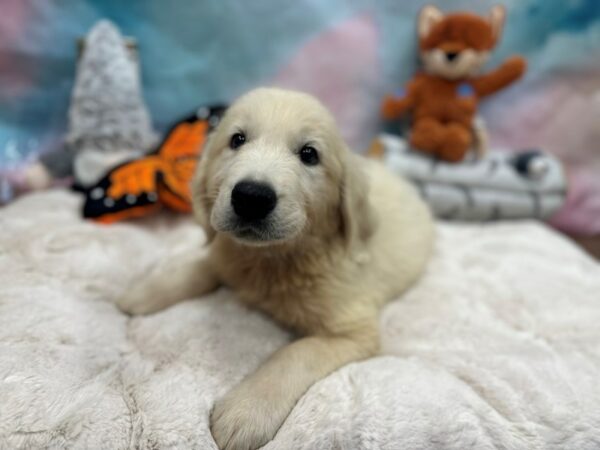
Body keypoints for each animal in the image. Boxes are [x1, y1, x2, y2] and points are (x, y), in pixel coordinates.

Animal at [116, 89, 436, 450]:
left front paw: (247, 410)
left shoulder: (353, 331)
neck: (272, 259)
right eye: (237, 140)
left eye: (309, 154)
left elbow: (294, 354)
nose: (251, 197)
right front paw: (144, 291)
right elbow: (204, 264)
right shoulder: (229, 253)